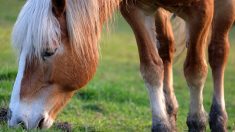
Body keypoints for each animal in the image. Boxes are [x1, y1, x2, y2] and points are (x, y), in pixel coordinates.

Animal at [7, 0, 235, 131]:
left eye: (48, 51)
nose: (18, 119)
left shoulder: (201, 11)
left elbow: (195, 69)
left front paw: (197, 122)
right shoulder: (136, 11)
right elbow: (151, 68)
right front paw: (161, 125)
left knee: (217, 53)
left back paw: (218, 119)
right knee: (165, 48)